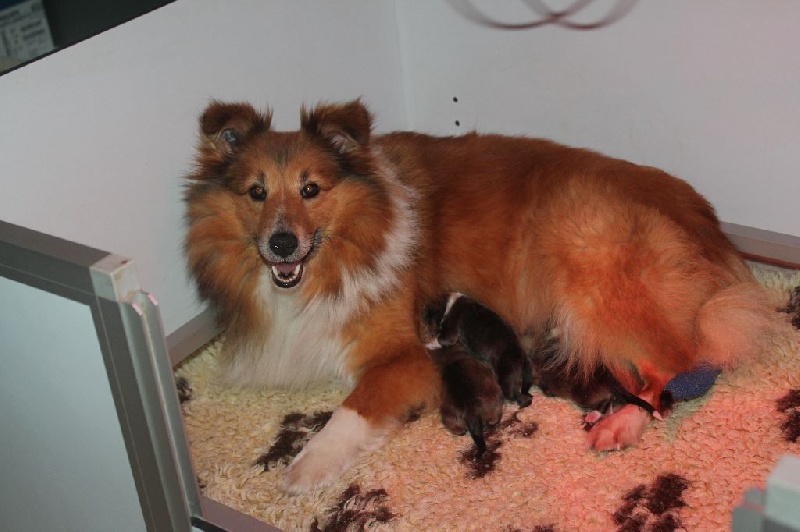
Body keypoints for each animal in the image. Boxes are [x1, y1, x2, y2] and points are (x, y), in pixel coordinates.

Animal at [183, 98, 780, 490]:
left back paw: (617, 424)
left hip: (587, 252)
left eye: (311, 189)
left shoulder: (402, 356)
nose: (282, 243)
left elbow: (350, 412)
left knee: (677, 366)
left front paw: (306, 466)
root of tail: (711, 225)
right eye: (256, 192)